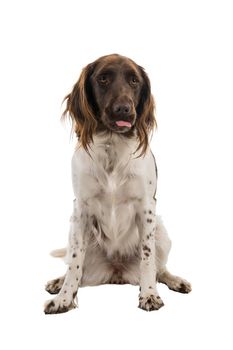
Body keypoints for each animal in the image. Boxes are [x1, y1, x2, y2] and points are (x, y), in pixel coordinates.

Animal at [44, 52, 191, 314]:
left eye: (134, 81)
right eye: (103, 79)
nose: (124, 109)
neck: (112, 145)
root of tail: (117, 272)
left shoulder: (146, 208)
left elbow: (148, 259)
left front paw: (149, 294)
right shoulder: (81, 209)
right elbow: (74, 264)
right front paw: (64, 299)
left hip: (162, 232)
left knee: (160, 269)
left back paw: (175, 280)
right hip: (74, 229)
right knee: (78, 268)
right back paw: (58, 282)